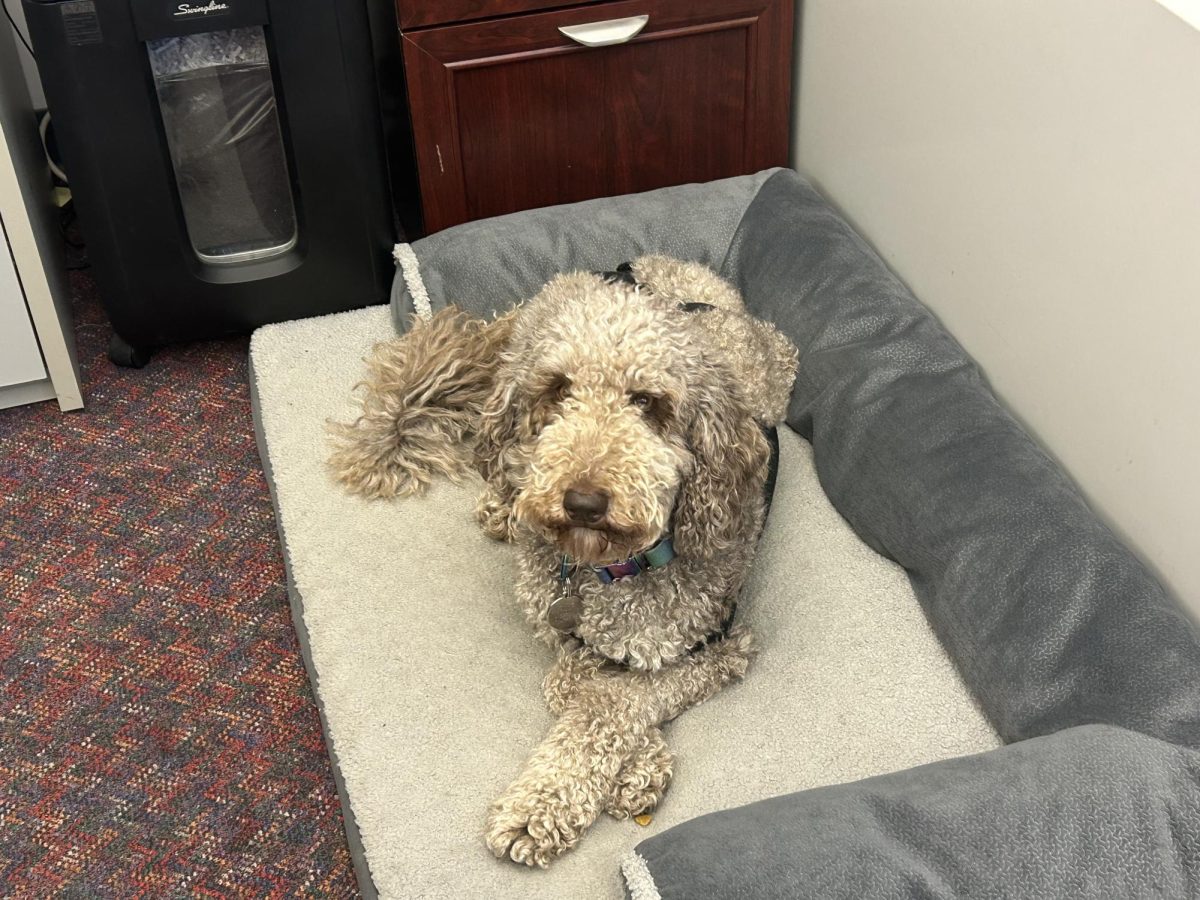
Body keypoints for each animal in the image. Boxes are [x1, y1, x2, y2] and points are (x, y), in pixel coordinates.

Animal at [328, 256, 796, 868]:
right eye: (558, 389)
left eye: (647, 402)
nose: (583, 502)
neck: (612, 569)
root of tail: (651, 266)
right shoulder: (552, 614)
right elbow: (578, 683)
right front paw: (617, 771)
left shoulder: (721, 645)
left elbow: (615, 696)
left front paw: (570, 793)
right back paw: (502, 505)